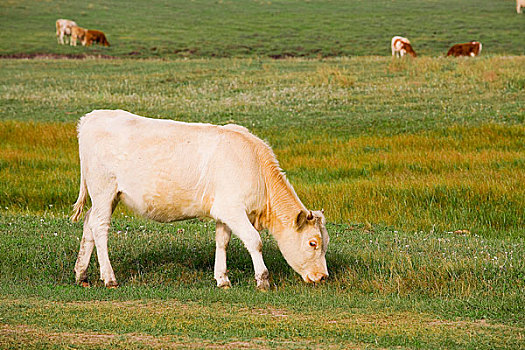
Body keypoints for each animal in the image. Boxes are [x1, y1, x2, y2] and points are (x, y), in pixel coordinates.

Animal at [71, 110, 330, 290]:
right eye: (312, 243)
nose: (323, 277)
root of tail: (92, 117)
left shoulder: (223, 211)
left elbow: (222, 242)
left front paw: (222, 279)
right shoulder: (233, 209)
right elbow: (254, 241)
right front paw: (263, 280)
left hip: (107, 196)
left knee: (89, 223)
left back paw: (81, 274)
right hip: (104, 190)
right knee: (100, 227)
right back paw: (109, 278)